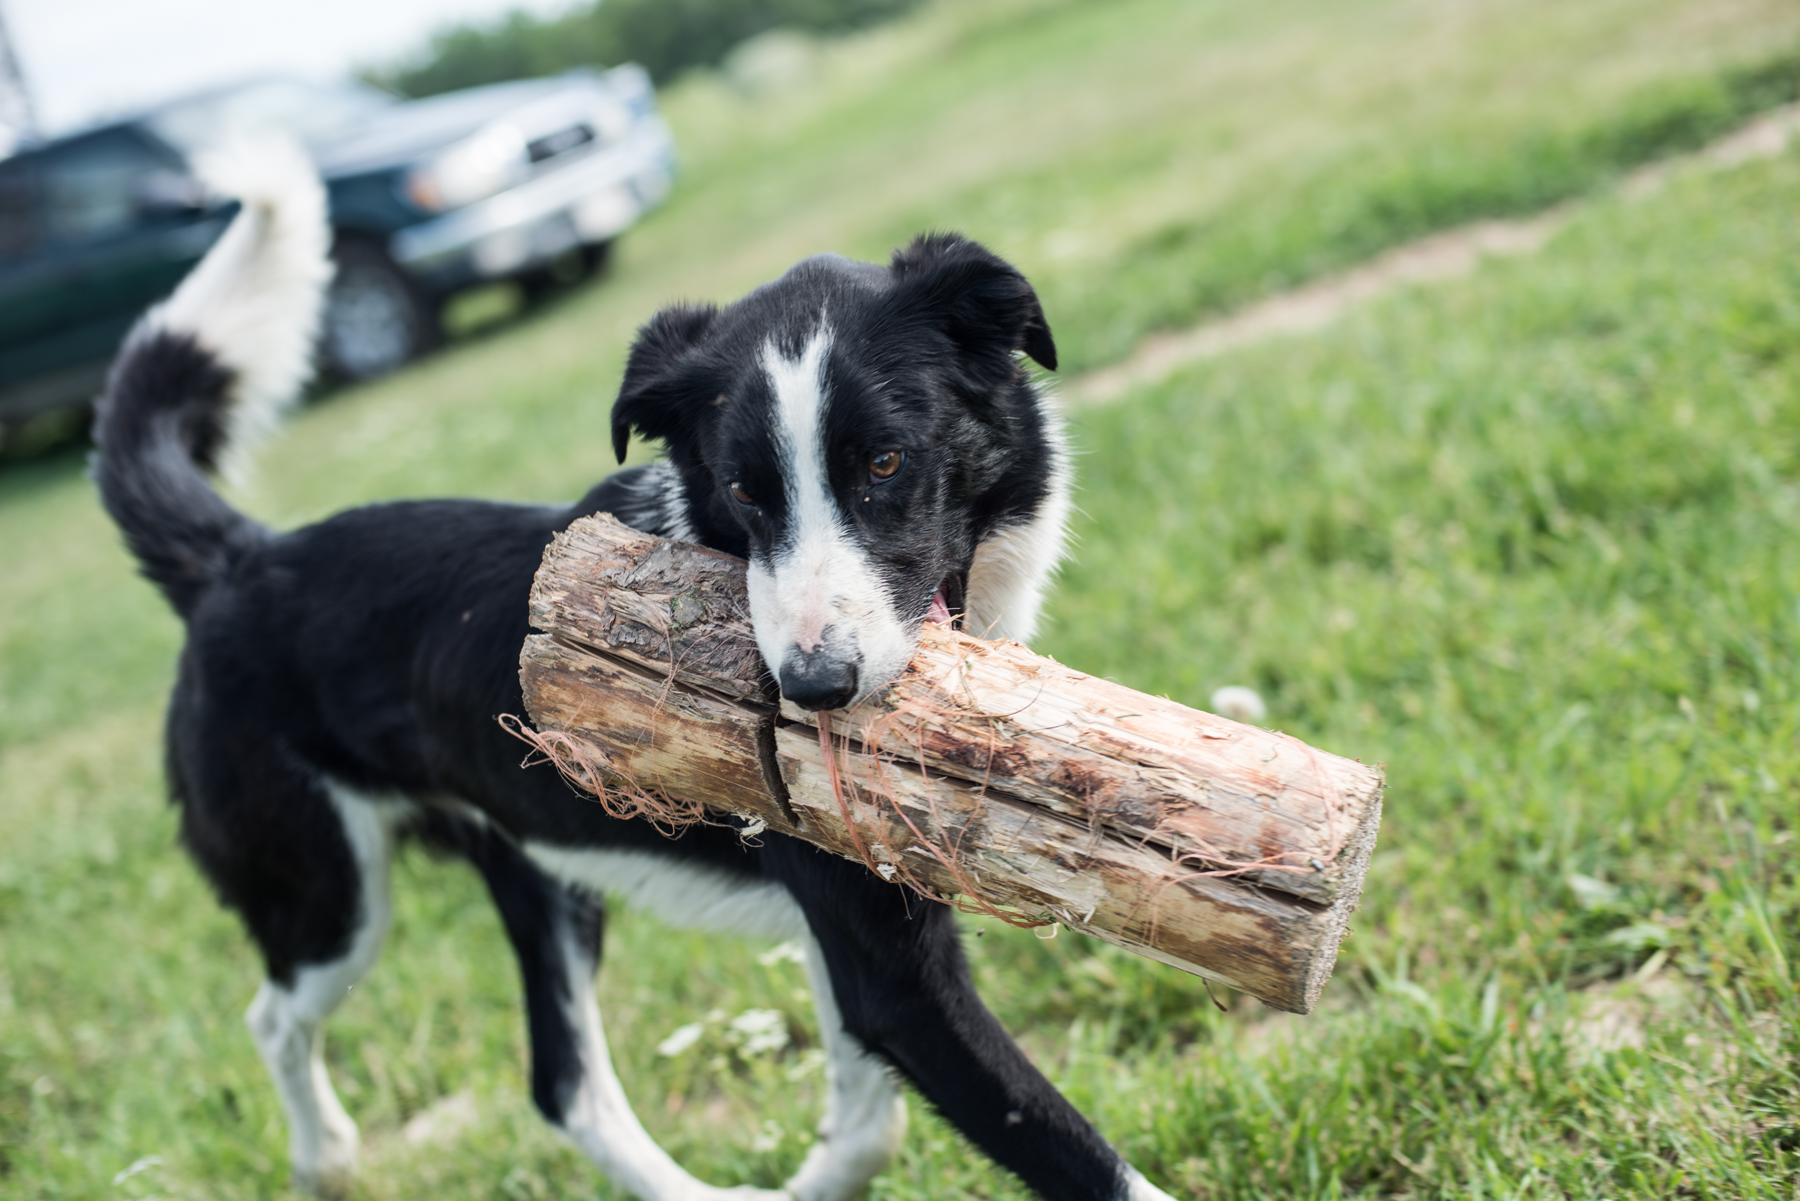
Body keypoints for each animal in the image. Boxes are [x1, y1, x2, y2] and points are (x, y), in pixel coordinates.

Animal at [91, 147, 1173, 1201]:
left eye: (886, 463)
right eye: (743, 489)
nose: (812, 687)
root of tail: (237, 560)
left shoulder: (847, 940)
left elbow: (868, 1118)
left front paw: (816, 1175)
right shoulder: (893, 975)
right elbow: (1077, 1158)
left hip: (537, 871)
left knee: (562, 1083)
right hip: (328, 898)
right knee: (276, 1017)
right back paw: (328, 1160)